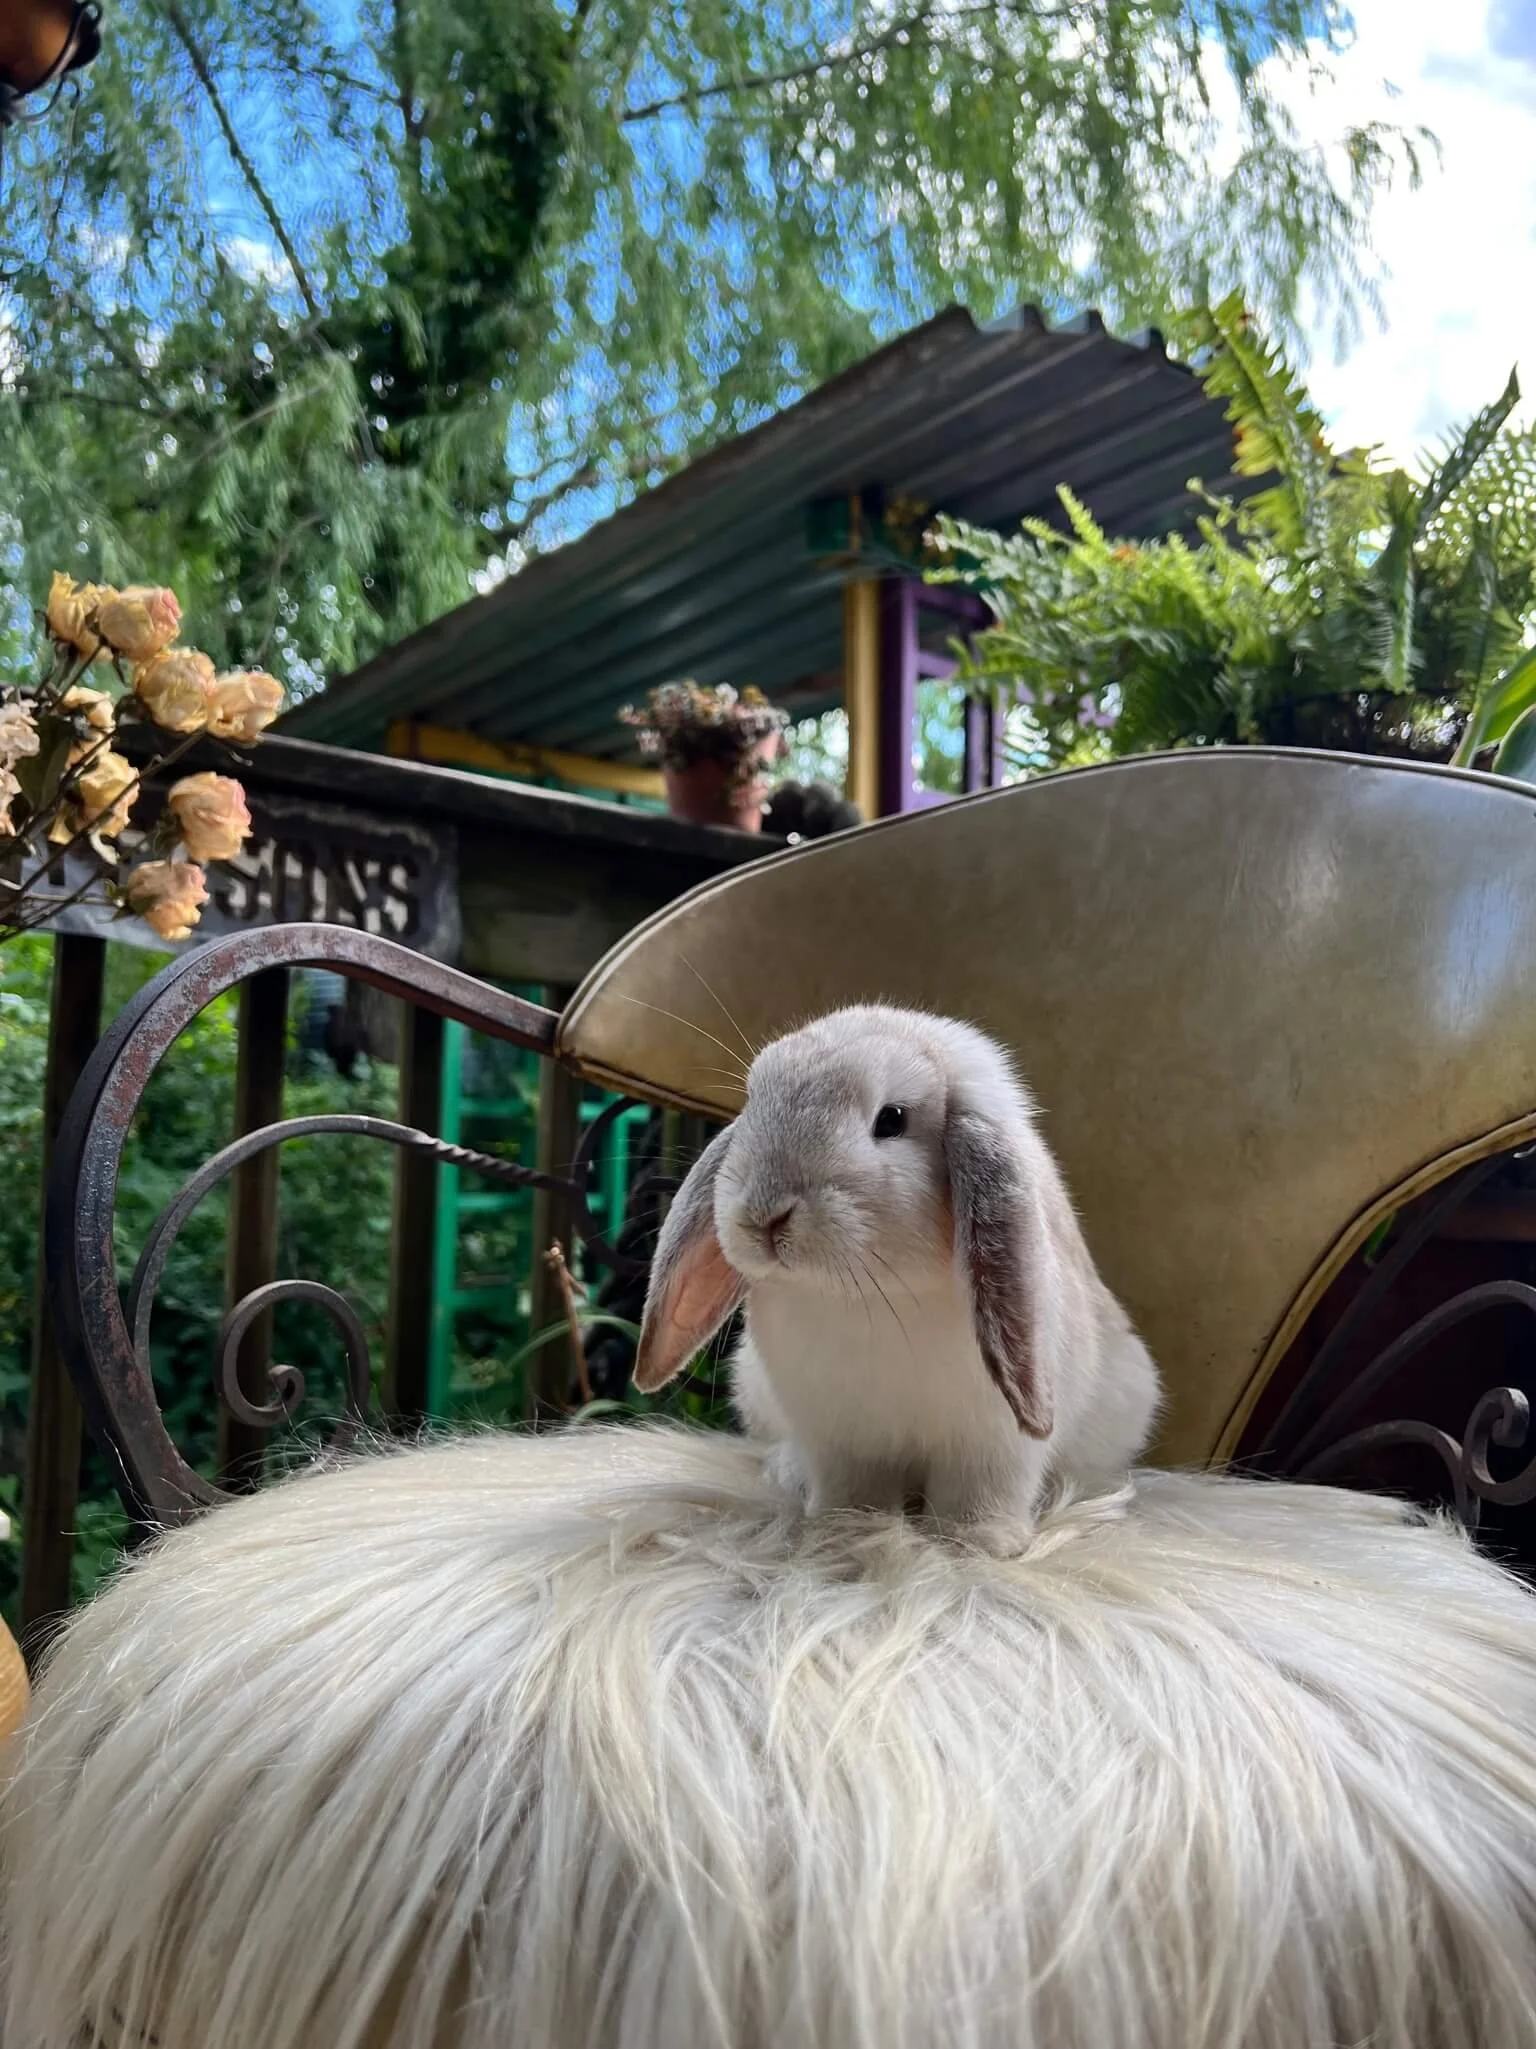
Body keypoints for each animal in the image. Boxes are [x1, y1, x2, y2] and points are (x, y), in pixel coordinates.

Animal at [632, 1004, 1161, 1553]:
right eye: (755, 1101)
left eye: (892, 1120)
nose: (764, 1216)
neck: (869, 1294)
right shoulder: (844, 1440)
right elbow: (857, 1490)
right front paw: (847, 1530)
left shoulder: (991, 1445)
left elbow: (981, 1492)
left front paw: (978, 1541)